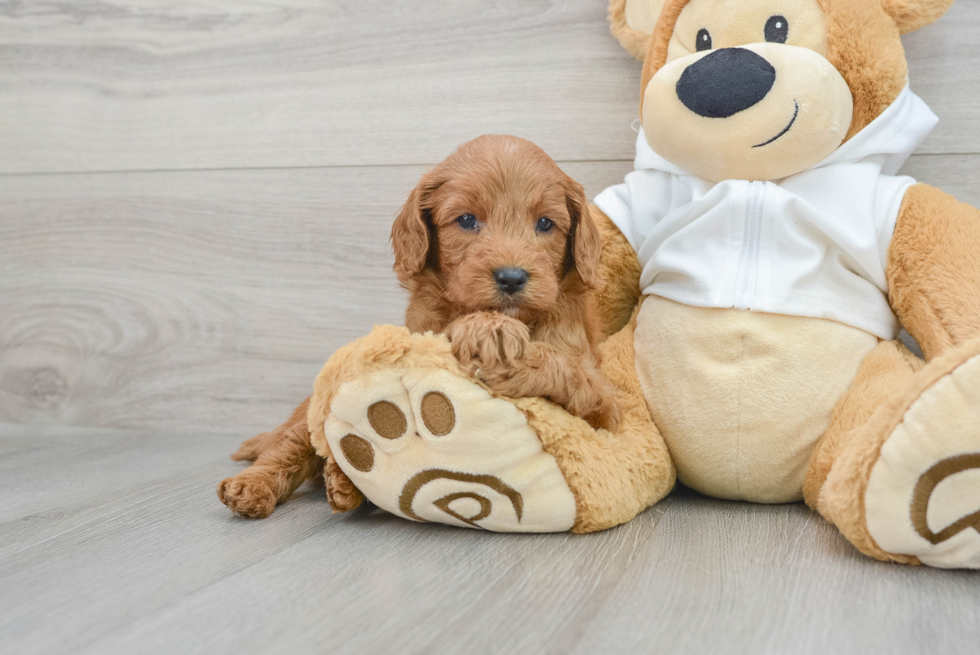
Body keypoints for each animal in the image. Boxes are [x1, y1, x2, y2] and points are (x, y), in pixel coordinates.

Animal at [222, 136, 620, 520]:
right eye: (466, 220)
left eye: (545, 224)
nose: (511, 277)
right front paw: (488, 329)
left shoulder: (604, 413)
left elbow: (570, 372)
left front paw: (508, 353)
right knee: (290, 444)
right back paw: (261, 485)